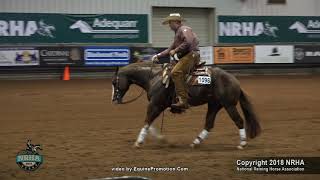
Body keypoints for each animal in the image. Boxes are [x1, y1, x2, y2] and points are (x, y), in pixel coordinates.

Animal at [111, 61, 262, 149]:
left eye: (114, 82)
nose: (114, 100)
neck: (154, 77)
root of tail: (235, 81)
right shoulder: (158, 105)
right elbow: (149, 122)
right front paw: (161, 139)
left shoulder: (156, 104)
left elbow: (147, 121)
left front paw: (139, 141)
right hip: (214, 105)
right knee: (209, 124)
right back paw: (195, 142)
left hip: (229, 105)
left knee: (239, 120)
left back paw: (242, 143)